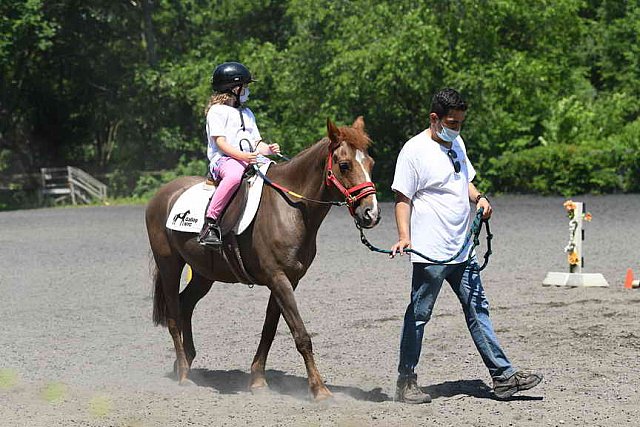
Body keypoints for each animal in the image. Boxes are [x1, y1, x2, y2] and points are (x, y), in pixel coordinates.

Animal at [148, 117, 380, 402]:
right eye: (345, 165)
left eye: (370, 163)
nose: (371, 213)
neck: (291, 207)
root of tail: (163, 194)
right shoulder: (277, 278)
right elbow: (301, 334)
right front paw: (319, 389)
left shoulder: (287, 280)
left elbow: (270, 329)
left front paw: (258, 380)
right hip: (169, 265)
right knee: (173, 315)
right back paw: (183, 373)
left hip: (204, 273)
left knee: (185, 305)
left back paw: (187, 362)